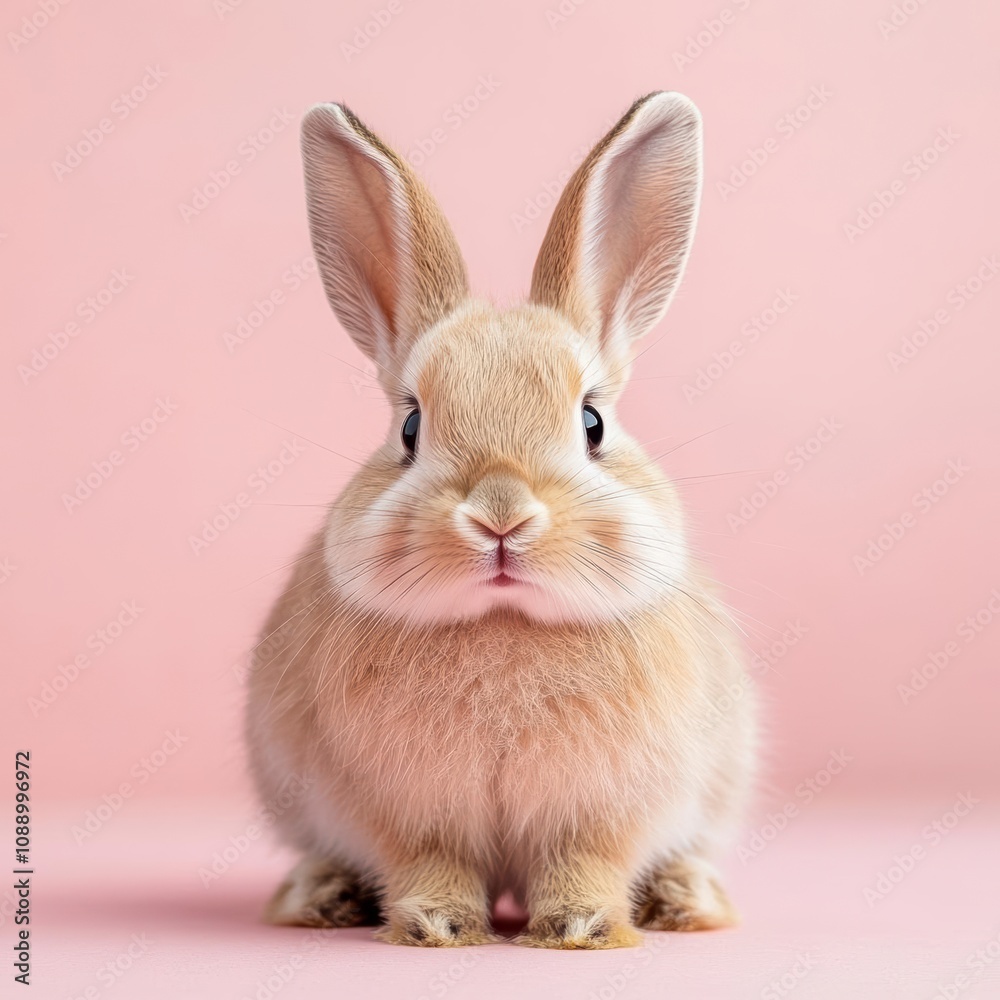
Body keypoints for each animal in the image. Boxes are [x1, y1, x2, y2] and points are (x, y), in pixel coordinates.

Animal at [245, 91, 756, 950]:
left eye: (592, 423)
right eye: (410, 427)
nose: (501, 516)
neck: (504, 623)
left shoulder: (603, 812)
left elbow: (586, 862)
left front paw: (580, 927)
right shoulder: (409, 816)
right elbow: (430, 863)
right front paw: (438, 927)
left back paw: (686, 900)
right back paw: (321, 896)